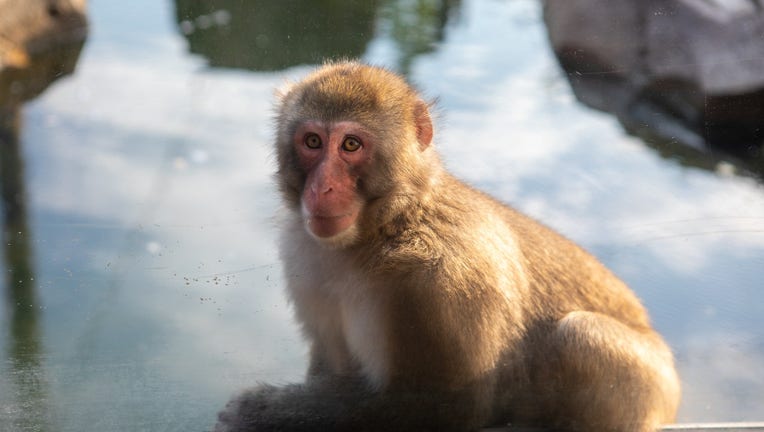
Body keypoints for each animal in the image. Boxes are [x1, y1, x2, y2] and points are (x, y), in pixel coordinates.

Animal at [215, 61, 680, 432]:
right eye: (312, 142)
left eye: (350, 145)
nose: (322, 188)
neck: (387, 227)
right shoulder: (305, 259)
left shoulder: (440, 283)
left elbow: (450, 405)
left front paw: (254, 413)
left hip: (650, 384)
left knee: (577, 334)